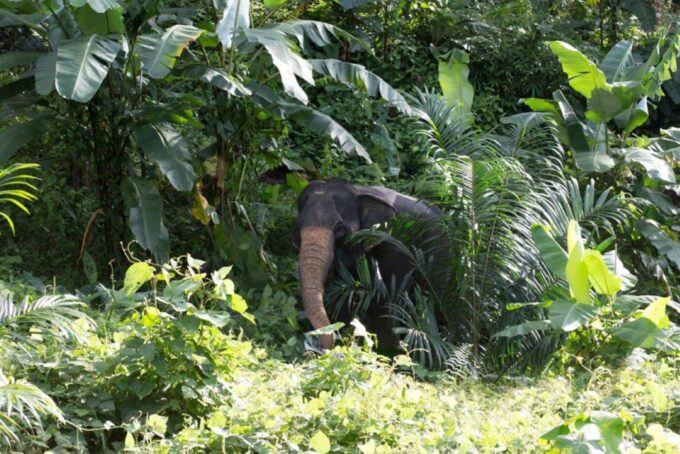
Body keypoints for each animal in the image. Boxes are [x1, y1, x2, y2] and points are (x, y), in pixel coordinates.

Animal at [294, 178, 443, 350]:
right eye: (298, 227)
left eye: (339, 228)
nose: (321, 345)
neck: (358, 190)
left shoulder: (397, 245)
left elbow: (387, 302)